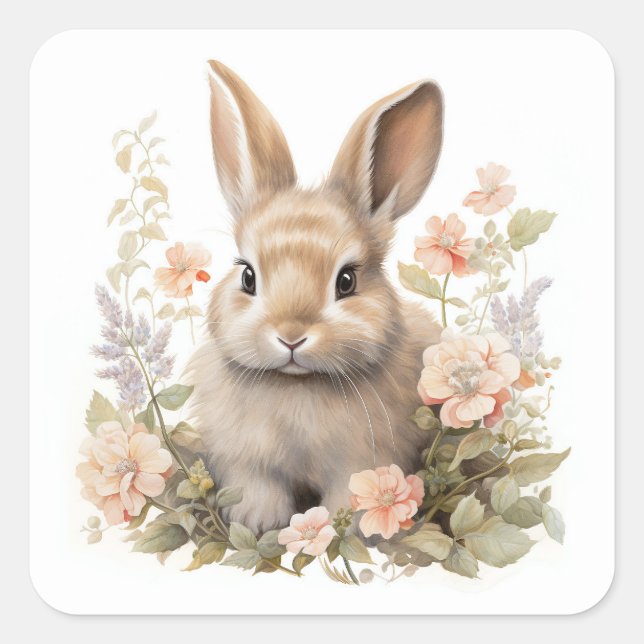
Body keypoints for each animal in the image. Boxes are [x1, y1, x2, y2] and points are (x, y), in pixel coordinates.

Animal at [184, 60, 444, 534]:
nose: (291, 336)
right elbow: (258, 486)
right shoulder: (247, 459)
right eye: (248, 276)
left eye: (346, 281)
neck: (297, 384)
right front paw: (256, 521)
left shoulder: (366, 457)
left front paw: (352, 526)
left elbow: (354, 490)